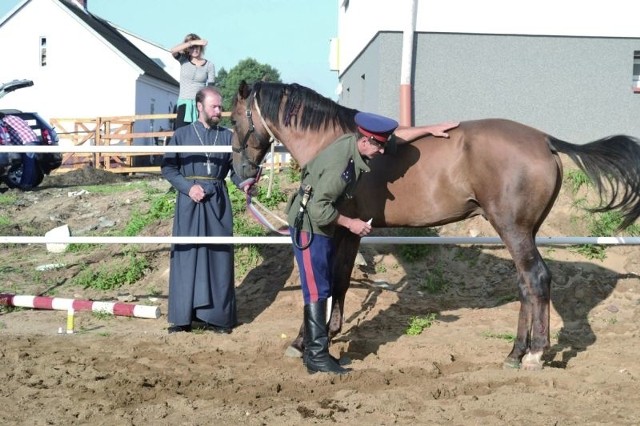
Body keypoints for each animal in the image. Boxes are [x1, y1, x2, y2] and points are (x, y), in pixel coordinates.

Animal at [230, 79, 640, 370]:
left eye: (233, 119)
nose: (241, 172)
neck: (337, 143)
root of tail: (545, 140)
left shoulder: (335, 228)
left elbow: (328, 282)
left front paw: (305, 342)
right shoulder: (351, 230)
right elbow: (341, 281)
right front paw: (327, 337)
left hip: (513, 228)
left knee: (536, 279)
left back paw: (535, 355)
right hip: (523, 231)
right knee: (526, 284)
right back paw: (514, 354)